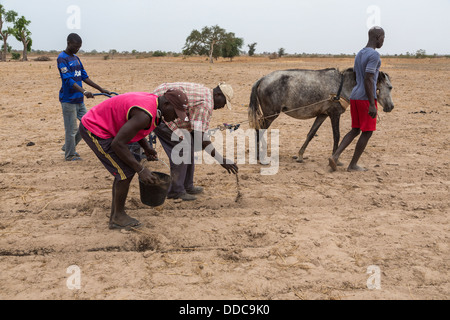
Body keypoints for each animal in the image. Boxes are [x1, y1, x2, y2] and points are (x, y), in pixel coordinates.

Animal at [248, 68, 392, 162]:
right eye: (390, 87)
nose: (391, 106)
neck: (343, 85)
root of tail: (262, 79)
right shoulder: (334, 114)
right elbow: (336, 136)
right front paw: (335, 158)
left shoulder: (322, 115)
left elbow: (311, 134)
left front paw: (300, 155)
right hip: (270, 114)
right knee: (259, 129)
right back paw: (259, 155)